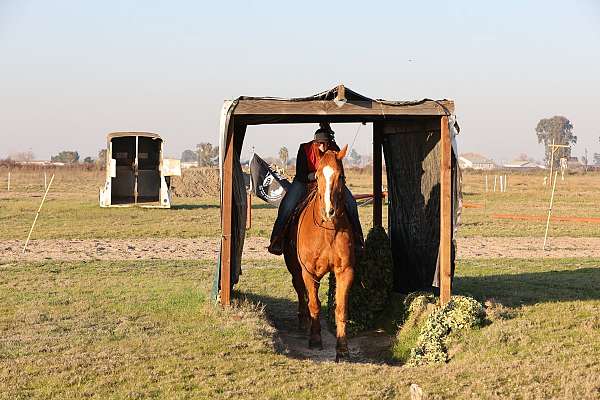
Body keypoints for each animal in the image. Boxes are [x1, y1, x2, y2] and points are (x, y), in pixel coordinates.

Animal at [282, 145, 354, 362]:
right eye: (318, 175)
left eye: (340, 176)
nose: (329, 211)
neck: (328, 230)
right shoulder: (309, 272)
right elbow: (314, 304)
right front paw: (315, 340)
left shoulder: (345, 271)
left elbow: (341, 309)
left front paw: (343, 350)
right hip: (295, 268)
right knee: (300, 290)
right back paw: (303, 320)